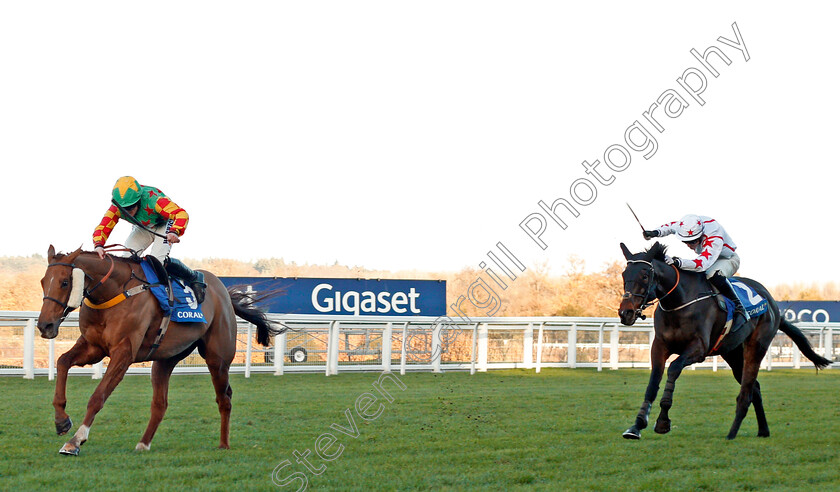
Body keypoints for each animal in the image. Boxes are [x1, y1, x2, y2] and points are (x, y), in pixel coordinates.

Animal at [38, 244, 286, 456]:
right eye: (43, 281)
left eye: (64, 282)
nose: (45, 325)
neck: (114, 291)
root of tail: (223, 292)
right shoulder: (94, 347)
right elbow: (62, 361)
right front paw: (61, 421)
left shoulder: (123, 352)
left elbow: (98, 396)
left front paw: (75, 440)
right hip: (165, 359)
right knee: (160, 404)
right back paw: (143, 443)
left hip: (218, 359)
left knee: (224, 399)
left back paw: (224, 444)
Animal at [616, 244, 832, 440]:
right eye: (624, 274)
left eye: (645, 275)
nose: (626, 312)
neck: (680, 302)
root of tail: (772, 304)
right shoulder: (660, 346)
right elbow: (653, 383)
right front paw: (637, 425)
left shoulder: (698, 349)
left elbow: (674, 368)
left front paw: (662, 422)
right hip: (733, 353)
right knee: (755, 388)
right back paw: (763, 430)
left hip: (756, 346)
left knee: (747, 390)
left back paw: (732, 433)